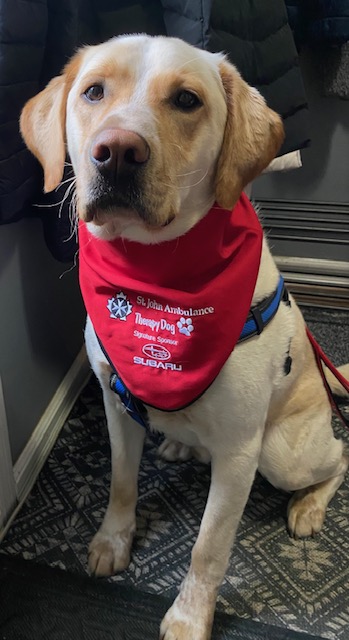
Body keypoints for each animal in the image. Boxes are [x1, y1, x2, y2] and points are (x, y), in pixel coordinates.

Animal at [20, 35, 346, 640]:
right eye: (94, 91)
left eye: (187, 100)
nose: (117, 152)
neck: (155, 275)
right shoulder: (116, 404)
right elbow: (121, 484)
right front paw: (111, 542)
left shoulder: (240, 454)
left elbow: (208, 549)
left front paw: (190, 617)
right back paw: (178, 441)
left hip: (282, 452)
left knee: (339, 457)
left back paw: (310, 506)